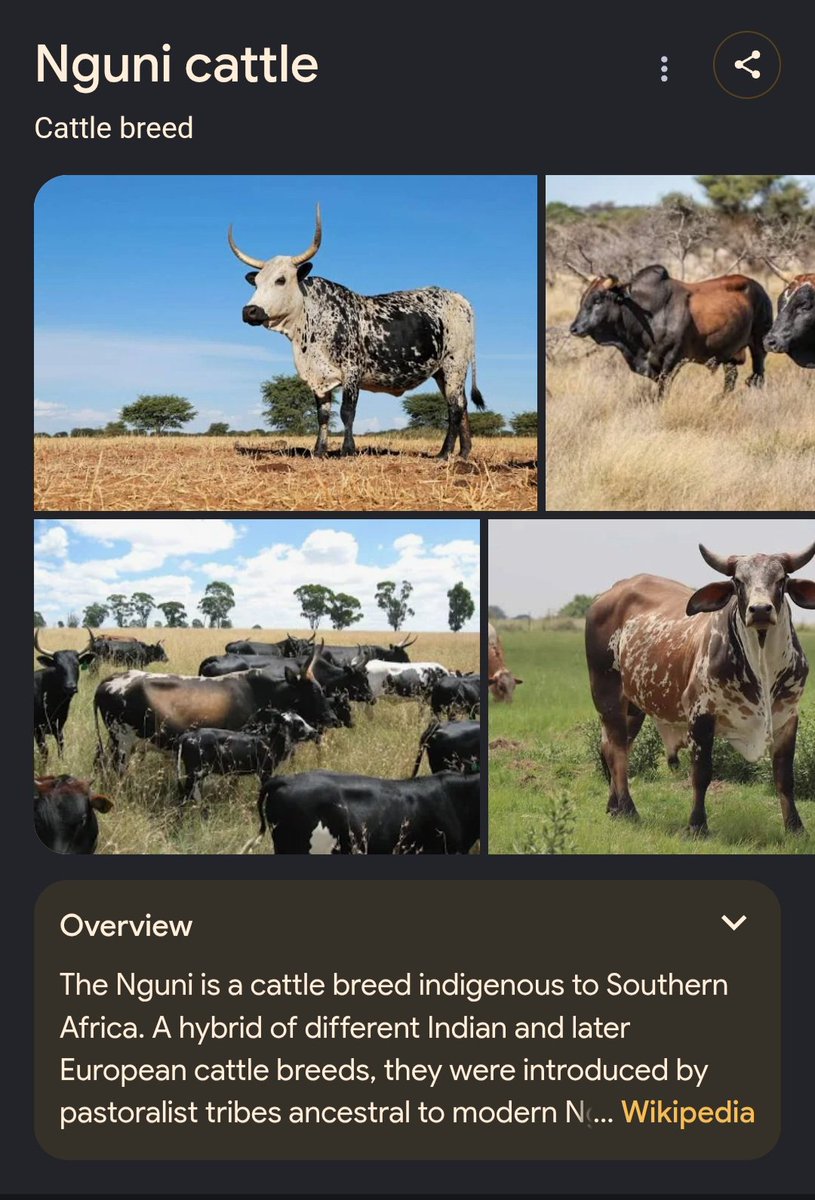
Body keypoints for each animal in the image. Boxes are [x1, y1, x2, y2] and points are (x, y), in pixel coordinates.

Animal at [34, 628, 96, 757]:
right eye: (58, 666)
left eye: (76, 664)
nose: (70, 687)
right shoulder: (38, 730)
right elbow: (45, 752)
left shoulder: (59, 728)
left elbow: (61, 749)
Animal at [175, 713, 319, 806]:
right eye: (299, 723)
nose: (314, 732)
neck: (269, 741)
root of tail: (187, 736)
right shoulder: (264, 772)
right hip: (193, 772)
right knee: (185, 796)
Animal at [229, 207, 485, 459]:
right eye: (256, 282)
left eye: (280, 280)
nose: (249, 311)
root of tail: (458, 298)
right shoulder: (319, 377)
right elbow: (323, 415)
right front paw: (319, 451)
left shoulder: (352, 372)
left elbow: (347, 412)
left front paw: (348, 450)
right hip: (442, 372)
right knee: (462, 406)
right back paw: (464, 453)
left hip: (454, 364)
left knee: (454, 407)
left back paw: (445, 453)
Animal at [568, 265, 772, 394]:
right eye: (583, 298)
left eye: (597, 299)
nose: (574, 328)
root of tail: (759, 289)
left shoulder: (671, 360)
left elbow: (662, 390)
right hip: (730, 354)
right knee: (731, 379)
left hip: (758, 346)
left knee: (758, 377)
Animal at [585, 542, 815, 835]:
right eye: (738, 581)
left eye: (782, 579)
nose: (760, 610)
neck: (762, 665)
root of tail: (608, 594)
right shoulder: (700, 715)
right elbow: (701, 773)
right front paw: (697, 825)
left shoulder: (787, 718)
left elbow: (785, 777)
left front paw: (796, 827)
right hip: (608, 696)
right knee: (617, 753)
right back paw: (628, 809)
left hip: (634, 707)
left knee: (613, 748)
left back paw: (613, 807)